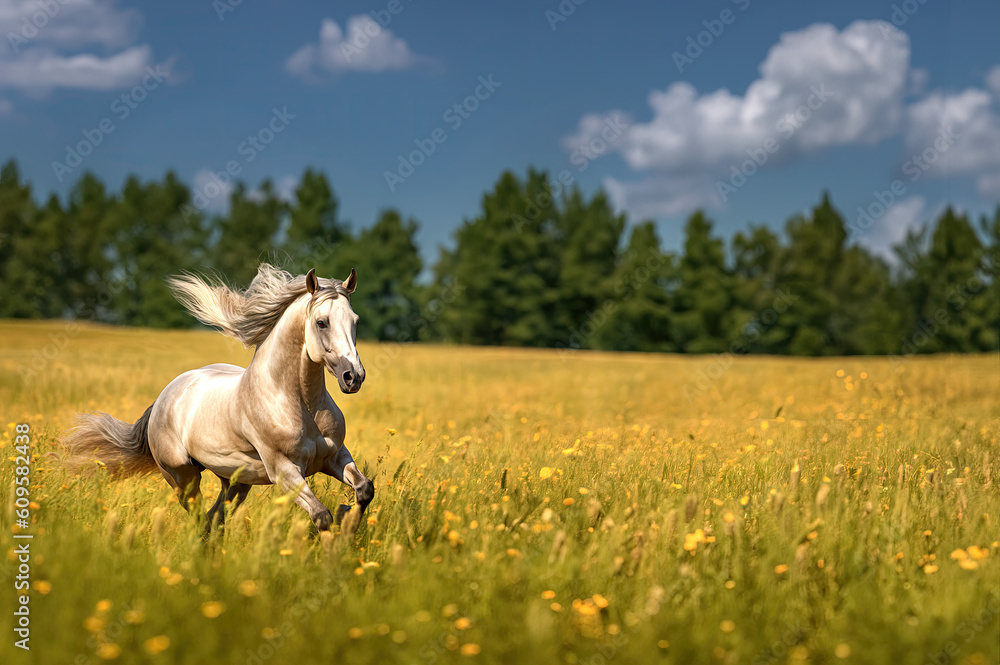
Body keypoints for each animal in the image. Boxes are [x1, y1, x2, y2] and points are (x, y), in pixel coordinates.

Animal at [63, 264, 375, 533]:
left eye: (356, 321)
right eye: (321, 323)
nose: (353, 377)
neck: (299, 402)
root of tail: (164, 397)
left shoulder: (335, 456)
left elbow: (365, 489)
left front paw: (347, 519)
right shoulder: (284, 471)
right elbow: (321, 516)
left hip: (236, 482)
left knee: (214, 520)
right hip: (183, 478)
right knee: (202, 520)